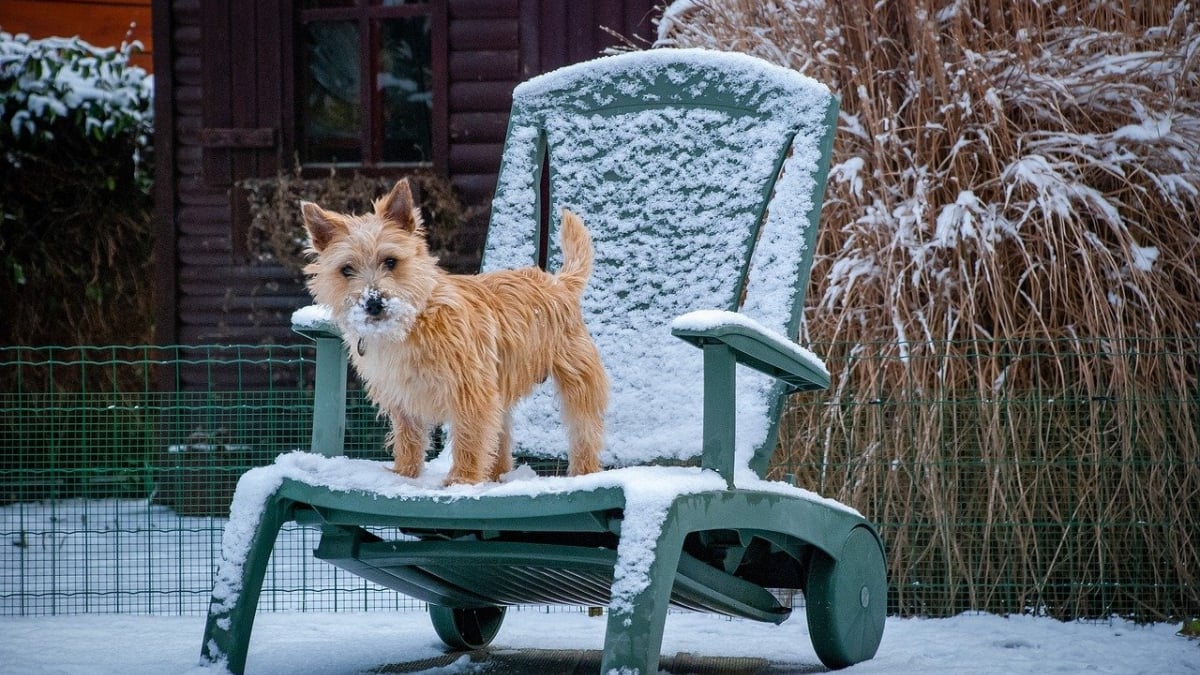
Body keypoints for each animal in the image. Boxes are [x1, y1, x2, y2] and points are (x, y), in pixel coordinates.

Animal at [298, 178, 604, 482]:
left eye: (391, 261)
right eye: (346, 270)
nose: (373, 303)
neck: (412, 325)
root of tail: (558, 283)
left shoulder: (471, 390)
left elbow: (470, 438)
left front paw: (462, 480)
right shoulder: (403, 397)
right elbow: (408, 439)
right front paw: (405, 474)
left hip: (577, 380)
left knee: (584, 431)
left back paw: (583, 471)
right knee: (501, 439)